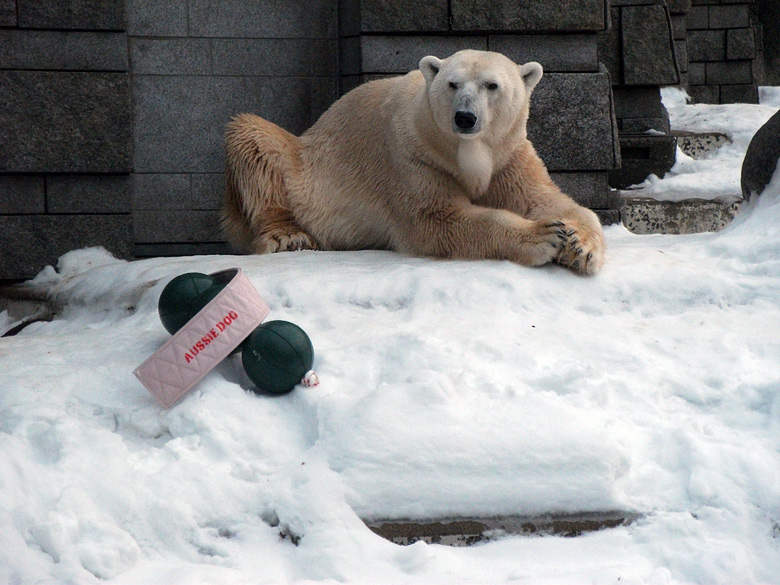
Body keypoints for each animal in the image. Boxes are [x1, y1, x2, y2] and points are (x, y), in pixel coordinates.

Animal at [222, 49, 608, 274]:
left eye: (492, 85)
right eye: (452, 84)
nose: (465, 118)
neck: (465, 152)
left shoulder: (508, 155)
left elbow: (546, 199)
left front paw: (580, 247)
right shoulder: (414, 157)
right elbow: (436, 219)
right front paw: (544, 236)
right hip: (299, 162)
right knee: (254, 138)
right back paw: (290, 237)